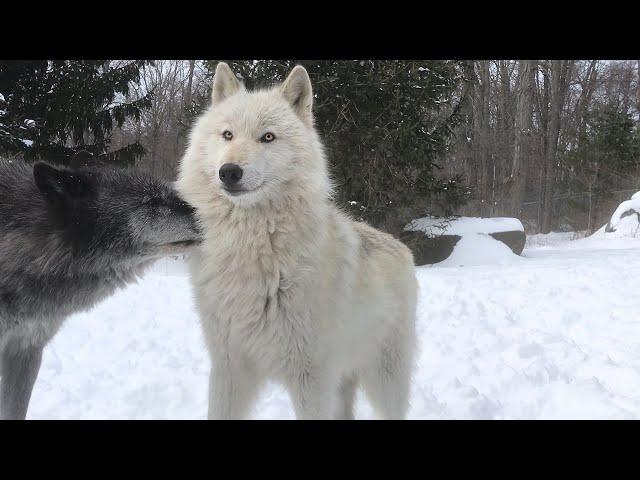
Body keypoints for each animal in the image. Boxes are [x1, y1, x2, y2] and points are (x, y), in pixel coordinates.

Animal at [175, 63, 418, 420]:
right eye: (227, 135)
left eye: (268, 137)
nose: (229, 171)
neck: (252, 251)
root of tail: (400, 247)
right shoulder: (228, 367)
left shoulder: (311, 378)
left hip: (384, 380)